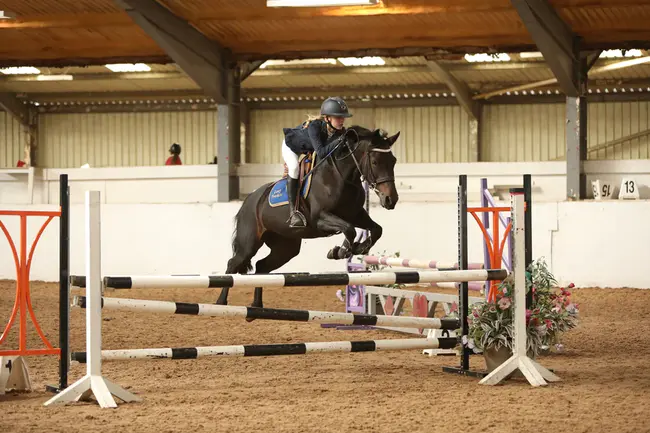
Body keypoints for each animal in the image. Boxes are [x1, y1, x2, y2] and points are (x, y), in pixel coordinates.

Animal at [215, 125, 398, 308]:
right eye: (375, 162)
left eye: (394, 161)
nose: (391, 199)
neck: (341, 176)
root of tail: (249, 200)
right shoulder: (320, 218)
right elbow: (349, 229)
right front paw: (339, 251)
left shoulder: (355, 214)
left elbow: (376, 229)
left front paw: (358, 248)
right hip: (250, 243)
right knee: (233, 264)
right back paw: (220, 302)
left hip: (286, 247)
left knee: (262, 266)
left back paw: (257, 306)